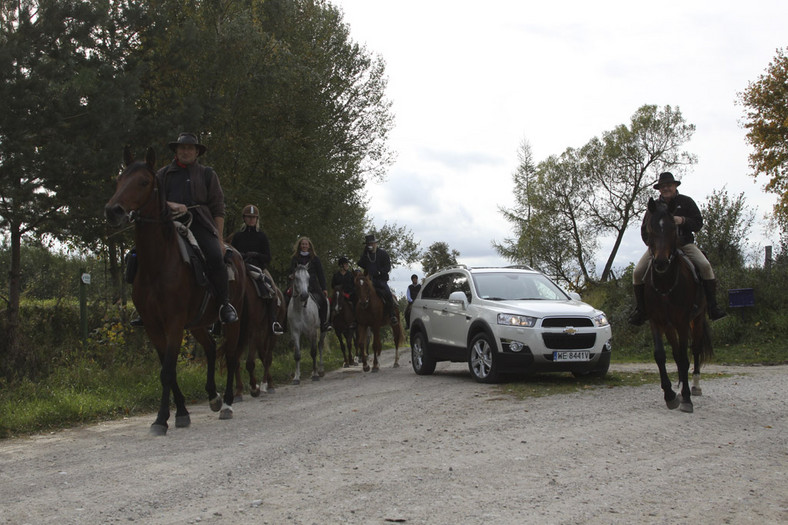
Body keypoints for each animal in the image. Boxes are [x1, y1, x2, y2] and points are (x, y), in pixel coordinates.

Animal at [104, 146, 246, 434]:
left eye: (143, 182)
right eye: (119, 179)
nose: (113, 210)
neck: (157, 264)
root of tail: (233, 252)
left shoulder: (174, 322)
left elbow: (168, 371)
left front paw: (162, 419)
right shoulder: (153, 325)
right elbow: (166, 370)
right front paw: (180, 412)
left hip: (231, 320)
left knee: (231, 356)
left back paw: (226, 403)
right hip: (198, 323)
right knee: (211, 348)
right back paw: (213, 396)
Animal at [235, 268, 288, 400]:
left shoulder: (253, 333)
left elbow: (249, 363)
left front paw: (254, 388)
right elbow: (235, 362)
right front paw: (238, 392)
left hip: (270, 333)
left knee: (267, 357)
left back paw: (267, 385)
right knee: (263, 355)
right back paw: (268, 383)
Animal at [648, 194, 716, 412]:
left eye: (672, 228)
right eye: (650, 229)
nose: (661, 263)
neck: (665, 284)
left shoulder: (683, 320)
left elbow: (686, 358)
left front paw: (686, 398)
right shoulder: (656, 320)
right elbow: (661, 355)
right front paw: (670, 395)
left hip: (698, 318)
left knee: (694, 349)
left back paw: (694, 386)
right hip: (670, 325)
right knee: (677, 352)